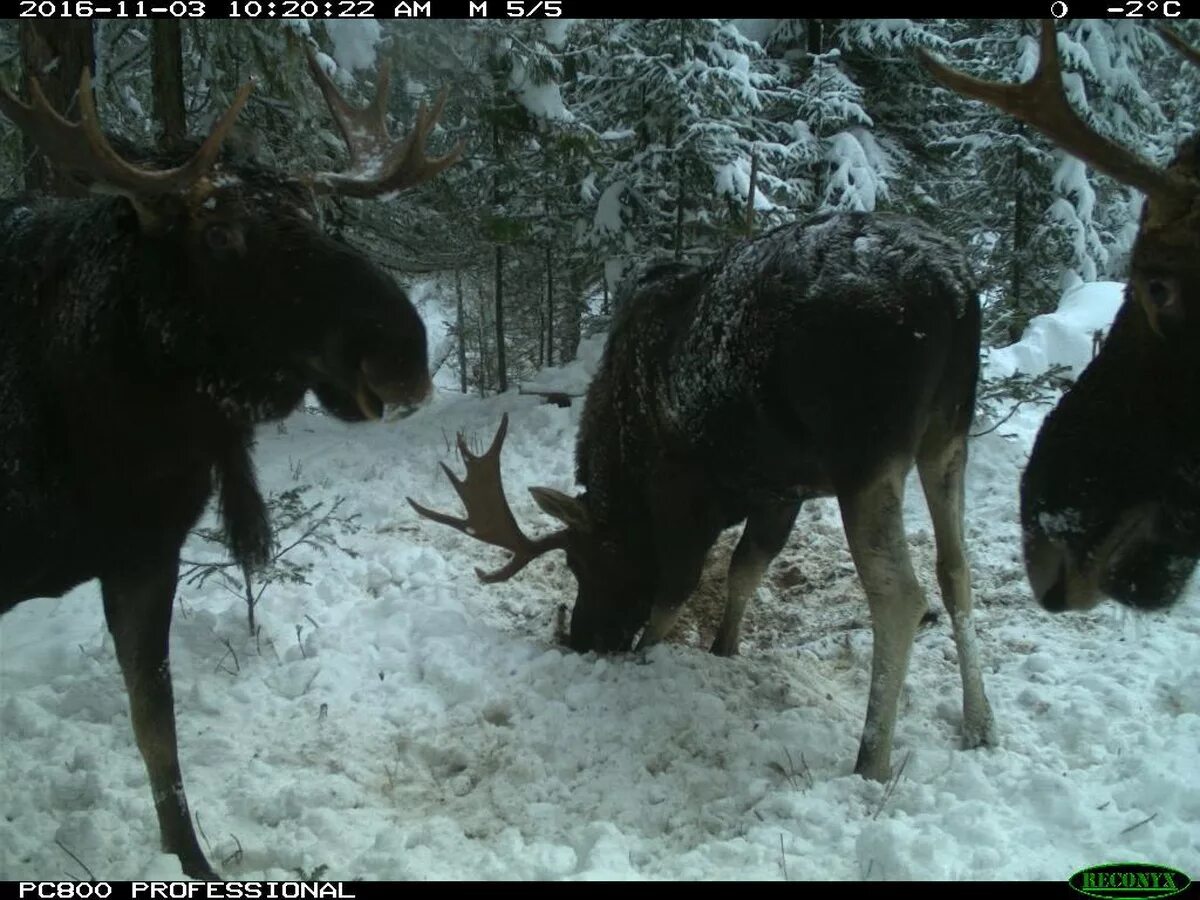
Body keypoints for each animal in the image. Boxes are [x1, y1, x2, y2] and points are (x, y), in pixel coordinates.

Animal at [0, 49, 458, 883]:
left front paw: (195, 863)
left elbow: (158, 730)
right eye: (218, 232)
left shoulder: (146, 553)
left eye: (320, 218)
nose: (403, 352)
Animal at [410, 211, 993, 782]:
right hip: (948, 431)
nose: (584, 637)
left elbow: (676, 588)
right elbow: (744, 568)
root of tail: (952, 292)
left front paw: (646, 654)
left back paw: (871, 758)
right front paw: (723, 648)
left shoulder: (678, 488)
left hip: (864, 452)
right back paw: (980, 723)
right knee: (955, 566)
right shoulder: (781, 489)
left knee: (899, 594)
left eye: (583, 563)